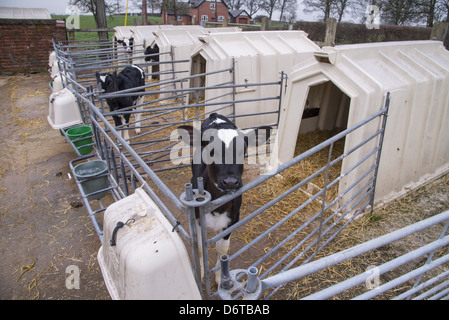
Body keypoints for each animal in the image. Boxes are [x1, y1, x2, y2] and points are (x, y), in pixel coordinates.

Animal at [178, 112, 270, 282]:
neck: (218, 207)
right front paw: (201, 272)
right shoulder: (195, 218)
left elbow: (222, 249)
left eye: (243, 152)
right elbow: (199, 248)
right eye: (211, 151)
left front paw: (221, 276)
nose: (231, 182)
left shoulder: (233, 218)